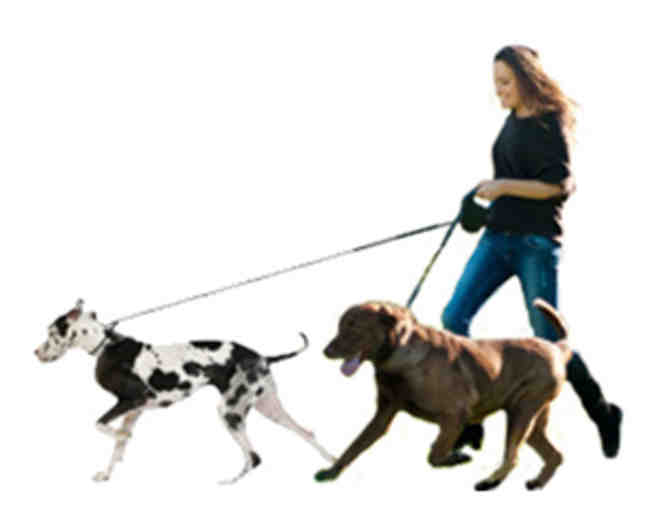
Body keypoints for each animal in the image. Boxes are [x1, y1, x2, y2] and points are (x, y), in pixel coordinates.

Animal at [35, 300, 335, 483]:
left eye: (51, 333)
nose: (36, 352)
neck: (106, 345)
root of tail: (262, 357)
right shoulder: (134, 410)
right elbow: (116, 445)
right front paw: (107, 472)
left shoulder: (132, 400)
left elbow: (101, 426)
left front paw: (121, 437)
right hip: (269, 408)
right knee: (305, 433)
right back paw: (331, 461)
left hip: (230, 412)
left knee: (254, 457)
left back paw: (229, 482)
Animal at [315, 298, 571, 490]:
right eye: (341, 326)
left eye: (354, 327)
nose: (325, 351)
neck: (398, 354)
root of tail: (557, 348)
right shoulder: (383, 416)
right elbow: (353, 447)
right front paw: (331, 472)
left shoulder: (455, 416)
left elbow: (435, 454)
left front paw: (457, 457)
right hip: (532, 421)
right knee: (555, 455)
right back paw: (536, 482)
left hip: (521, 412)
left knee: (513, 456)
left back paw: (490, 482)